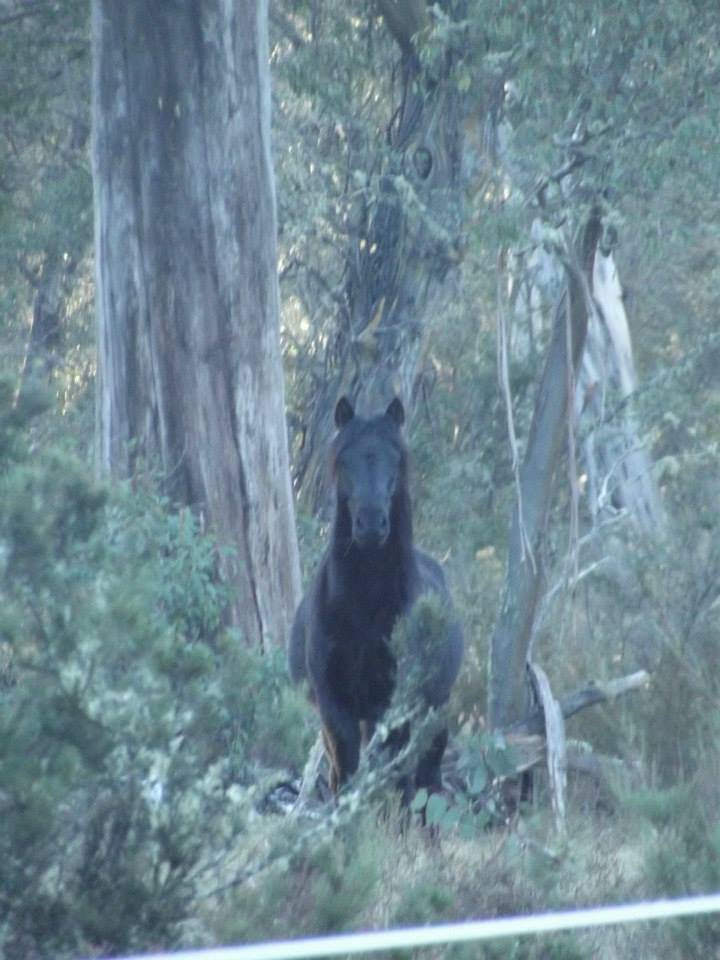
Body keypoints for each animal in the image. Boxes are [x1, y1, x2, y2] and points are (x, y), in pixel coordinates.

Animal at [290, 396, 464, 796]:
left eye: (396, 459)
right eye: (344, 460)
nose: (370, 524)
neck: (363, 612)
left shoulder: (394, 700)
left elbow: (390, 768)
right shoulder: (333, 702)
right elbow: (347, 765)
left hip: (432, 710)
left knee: (425, 770)